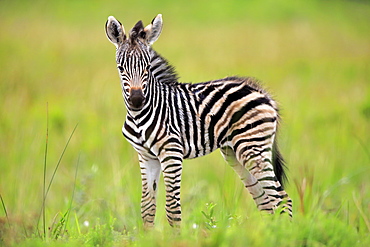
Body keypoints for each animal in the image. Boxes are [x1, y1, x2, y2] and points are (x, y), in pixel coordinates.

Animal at [104, 13, 292, 226]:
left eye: (147, 67)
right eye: (121, 68)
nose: (136, 100)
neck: (139, 116)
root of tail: (260, 91)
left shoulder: (172, 153)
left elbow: (172, 209)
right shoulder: (146, 157)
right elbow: (147, 209)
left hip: (253, 147)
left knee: (282, 199)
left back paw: (285, 232)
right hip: (235, 153)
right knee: (266, 202)